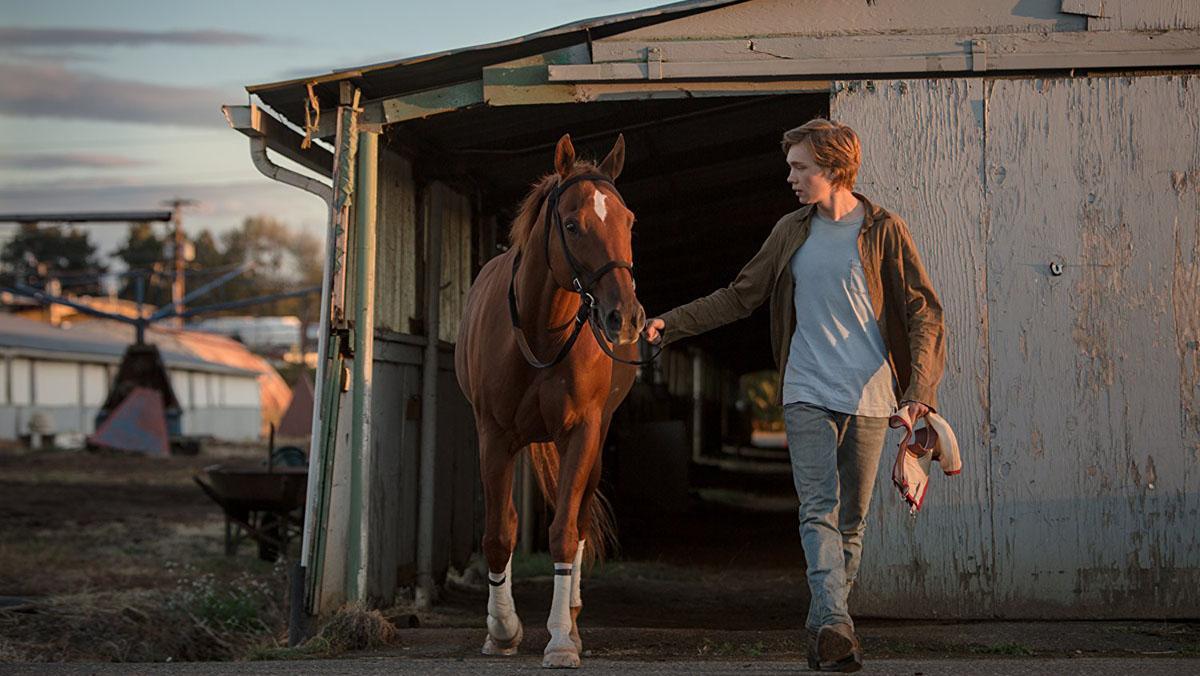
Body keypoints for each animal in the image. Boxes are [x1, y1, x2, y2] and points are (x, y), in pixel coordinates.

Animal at [456, 135, 648, 667]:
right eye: (572, 225)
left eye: (629, 221)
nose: (625, 317)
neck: (542, 331)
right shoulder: (494, 437)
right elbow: (499, 533)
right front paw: (502, 630)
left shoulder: (582, 432)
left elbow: (564, 531)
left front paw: (562, 638)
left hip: (593, 442)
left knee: (578, 521)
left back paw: (575, 620)